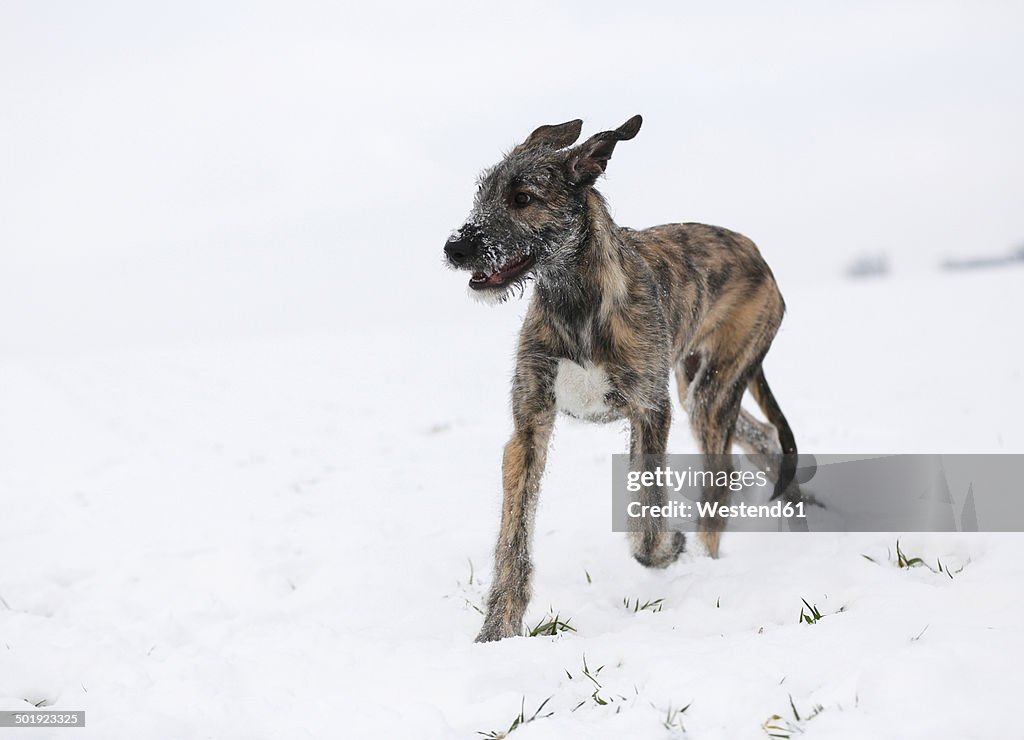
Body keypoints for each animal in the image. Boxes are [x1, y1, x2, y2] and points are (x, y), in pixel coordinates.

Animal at [444, 115, 794, 642]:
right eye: (482, 193)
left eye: (522, 197)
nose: (455, 248)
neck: (574, 301)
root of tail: (756, 254)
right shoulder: (529, 425)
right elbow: (513, 537)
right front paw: (496, 630)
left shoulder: (649, 410)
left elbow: (646, 515)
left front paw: (667, 549)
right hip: (696, 384)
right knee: (764, 437)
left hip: (714, 389)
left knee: (722, 477)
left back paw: (706, 562)